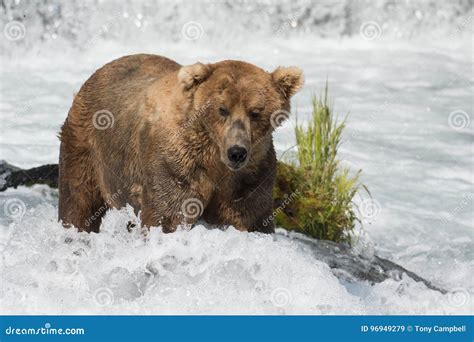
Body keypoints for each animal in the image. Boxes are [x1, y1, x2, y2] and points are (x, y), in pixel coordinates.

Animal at [58, 54, 304, 234]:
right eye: (222, 109)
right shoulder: (176, 163)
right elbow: (169, 212)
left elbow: (250, 217)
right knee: (79, 197)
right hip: (87, 145)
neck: (214, 160)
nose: (236, 152)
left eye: (255, 112)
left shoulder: (251, 175)